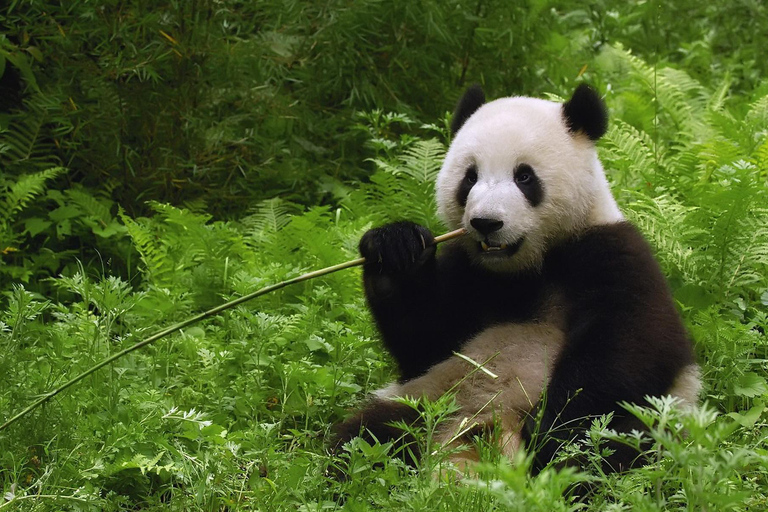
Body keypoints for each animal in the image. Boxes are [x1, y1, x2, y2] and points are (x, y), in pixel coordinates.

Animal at [333, 84, 701, 475]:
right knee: (368, 436)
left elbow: (630, 346)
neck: (523, 268)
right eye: (470, 177)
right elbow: (423, 340)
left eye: (524, 177)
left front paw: (548, 429)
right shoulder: (467, 272)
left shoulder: (611, 253)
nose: (486, 223)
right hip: (430, 397)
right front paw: (396, 249)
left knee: (612, 444)